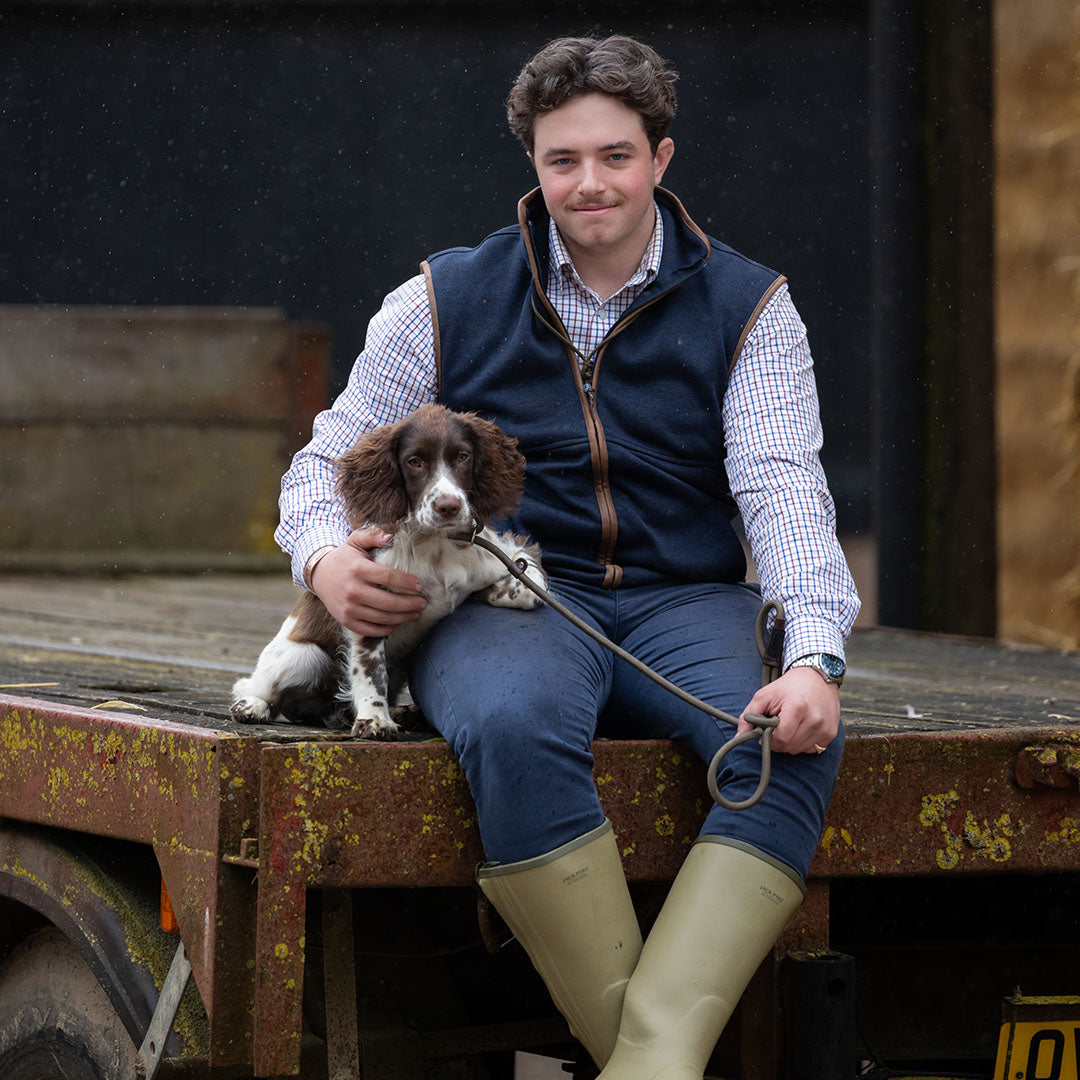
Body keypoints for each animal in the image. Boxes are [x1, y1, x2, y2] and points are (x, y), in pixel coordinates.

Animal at [231, 406, 544, 743]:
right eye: (414, 462)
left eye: (463, 456)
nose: (448, 506)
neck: (435, 545)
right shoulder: (367, 604)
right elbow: (370, 668)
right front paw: (374, 719)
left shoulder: (499, 553)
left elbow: (529, 581)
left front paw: (498, 590)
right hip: (302, 655)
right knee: (260, 686)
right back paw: (252, 705)